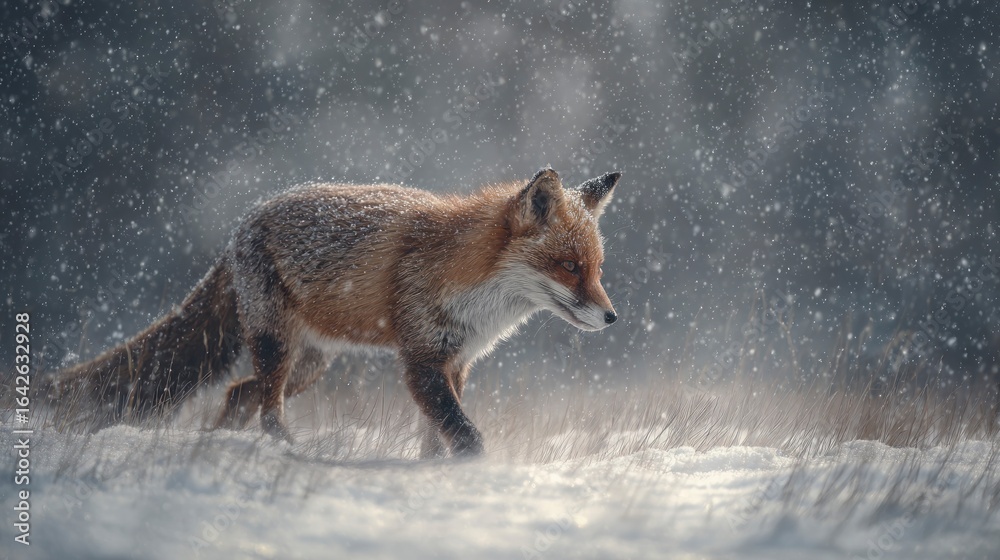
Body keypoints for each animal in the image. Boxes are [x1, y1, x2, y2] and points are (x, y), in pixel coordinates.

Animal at [48, 167, 622, 457]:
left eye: (597, 268)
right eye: (569, 267)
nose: (612, 318)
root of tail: (242, 223)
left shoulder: (456, 363)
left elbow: (436, 438)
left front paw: (435, 473)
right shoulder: (421, 360)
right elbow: (464, 434)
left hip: (308, 364)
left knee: (239, 394)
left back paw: (222, 443)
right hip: (278, 347)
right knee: (267, 411)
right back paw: (292, 451)